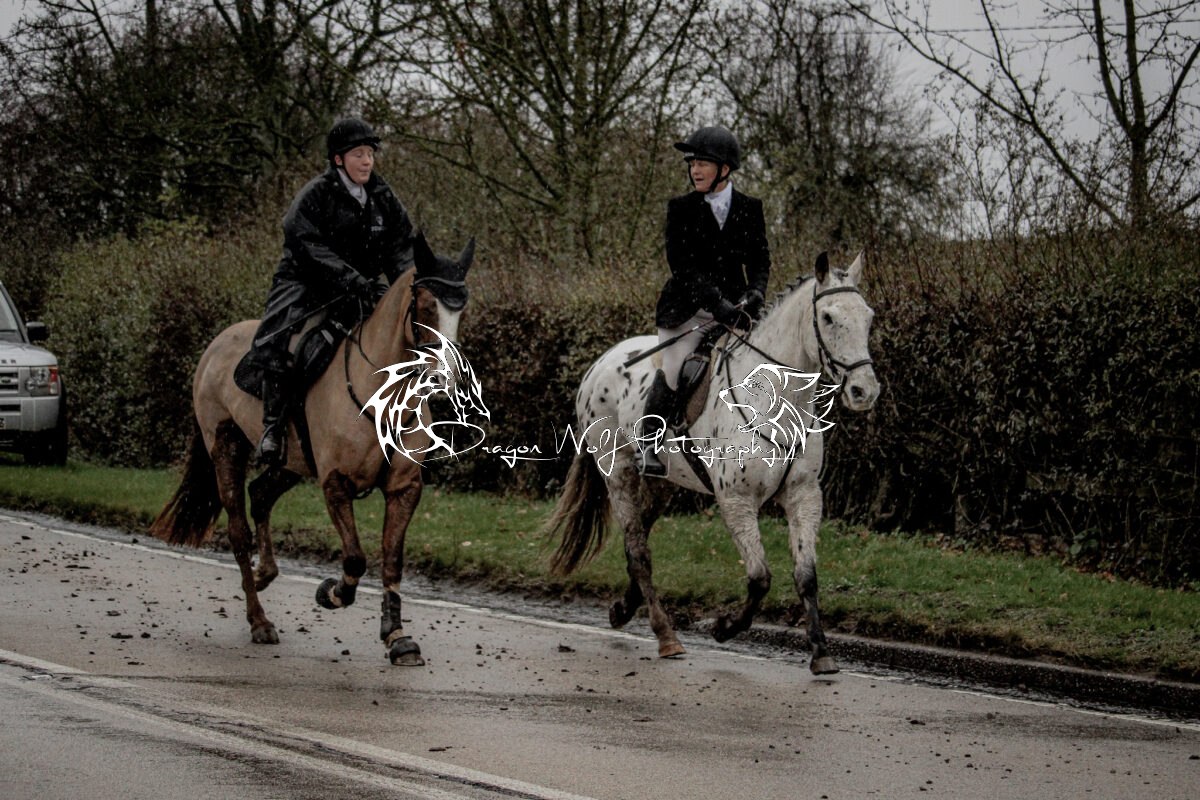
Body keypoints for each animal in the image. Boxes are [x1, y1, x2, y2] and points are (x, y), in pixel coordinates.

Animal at [150, 235, 475, 666]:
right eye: (424, 306)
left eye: (461, 310)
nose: (447, 379)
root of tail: (216, 345)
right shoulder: (335, 483)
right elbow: (355, 558)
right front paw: (331, 593)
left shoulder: (404, 488)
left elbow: (392, 561)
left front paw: (398, 637)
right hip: (225, 446)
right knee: (238, 531)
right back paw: (259, 620)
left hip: (291, 462)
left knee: (261, 495)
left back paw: (264, 574)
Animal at [545, 252, 879, 674]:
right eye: (829, 318)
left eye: (868, 316)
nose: (865, 391)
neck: (777, 398)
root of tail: (599, 363)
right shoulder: (737, 501)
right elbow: (760, 577)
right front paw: (724, 628)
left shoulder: (804, 495)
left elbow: (806, 575)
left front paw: (821, 652)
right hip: (617, 473)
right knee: (639, 553)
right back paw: (666, 636)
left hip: (661, 483)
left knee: (637, 540)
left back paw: (624, 609)